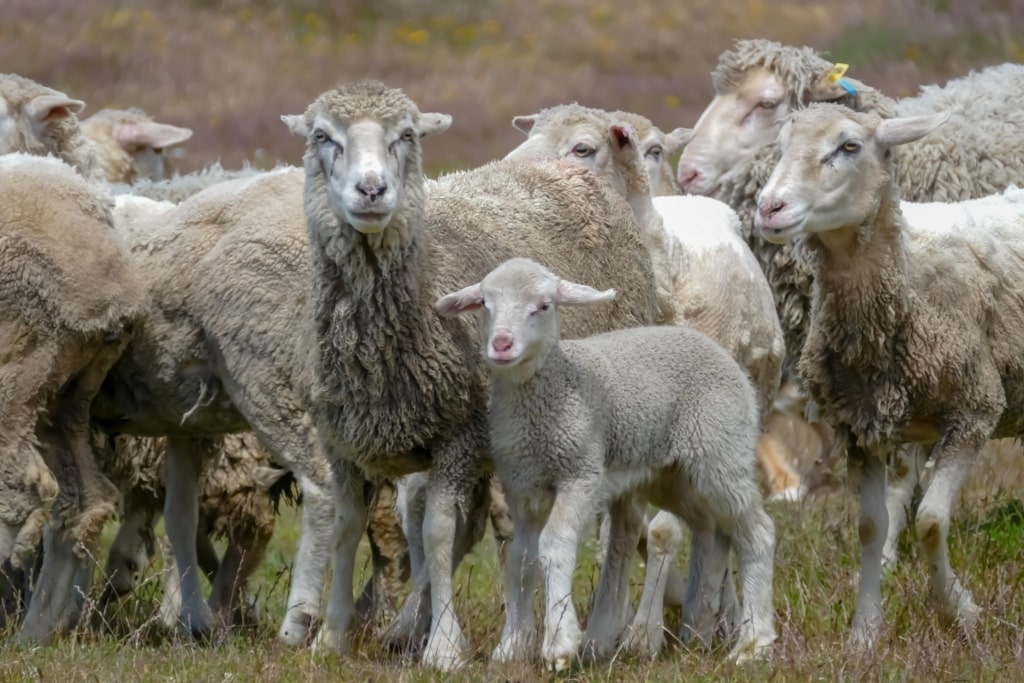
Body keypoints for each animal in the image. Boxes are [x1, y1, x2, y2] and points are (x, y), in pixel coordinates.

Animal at [282, 78, 663, 667]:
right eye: (323, 136)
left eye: (406, 136)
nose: (372, 190)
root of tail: (566, 175)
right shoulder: (340, 441)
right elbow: (350, 527)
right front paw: (335, 635)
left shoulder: (457, 436)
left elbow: (439, 534)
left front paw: (443, 646)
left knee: (622, 522)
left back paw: (597, 634)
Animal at [432, 255, 774, 667]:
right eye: (485, 303)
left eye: (543, 306)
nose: (501, 344)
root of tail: (717, 350)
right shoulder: (522, 485)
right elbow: (520, 561)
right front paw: (511, 647)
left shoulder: (581, 473)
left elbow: (554, 544)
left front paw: (559, 644)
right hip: (674, 475)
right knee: (712, 528)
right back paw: (698, 630)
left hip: (722, 452)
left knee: (757, 533)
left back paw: (753, 643)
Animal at [753, 104, 1024, 651]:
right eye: (782, 145)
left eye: (849, 147)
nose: (769, 208)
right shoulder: (862, 427)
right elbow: (871, 528)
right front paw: (864, 633)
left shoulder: (976, 409)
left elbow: (931, 521)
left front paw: (960, 612)